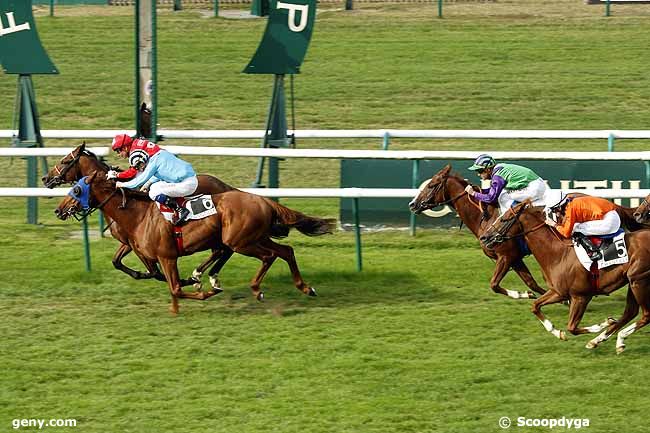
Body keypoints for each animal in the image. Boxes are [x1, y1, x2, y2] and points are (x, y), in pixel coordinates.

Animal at [42, 143, 235, 290]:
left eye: (65, 160)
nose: (45, 178)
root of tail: (225, 186)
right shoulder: (128, 241)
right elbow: (116, 262)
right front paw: (142, 273)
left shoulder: (134, 241)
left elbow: (154, 271)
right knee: (223, 250)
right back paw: (207, 276)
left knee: (224, 249)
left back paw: (202, 275)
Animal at [55, 170, 334, 314]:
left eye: (76, 190)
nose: (59, 210)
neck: (138, 214)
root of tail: (263, 200)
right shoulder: (150, 254)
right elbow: (166, 283)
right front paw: (181, 303)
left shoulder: (167, 256)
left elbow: (175, 288)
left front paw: (203, 291)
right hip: (254, 237)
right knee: (286, 251)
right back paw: (305, 287)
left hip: (241, 241)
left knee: (269, 256)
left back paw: (253, 288)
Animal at [408, 165, 544, 300]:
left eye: (431, 185)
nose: (412, 204)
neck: (487, 218)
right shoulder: (514, 258)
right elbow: (532, 283)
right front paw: (529, 294)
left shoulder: (506, 256)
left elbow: (494, 284)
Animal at [480, 201, 650, 352]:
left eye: (504, 218)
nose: (484, 237)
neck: (558, 254)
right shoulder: (558, 292)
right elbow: (535, 306)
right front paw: (556, 332)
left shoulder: (580, 296)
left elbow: (572, 327)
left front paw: (602, 324)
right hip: (632, 281)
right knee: (630, 313)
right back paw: (607, 340)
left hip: (639, 280)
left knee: (645, 315)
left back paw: (611, 337)